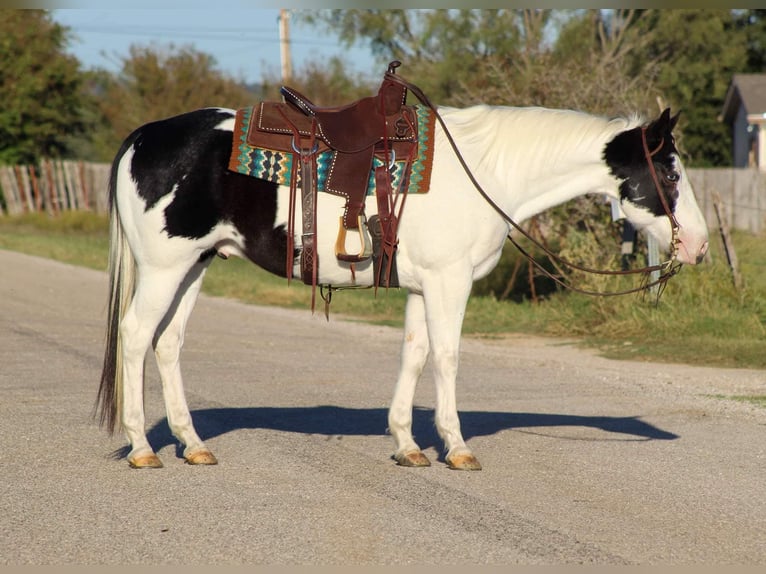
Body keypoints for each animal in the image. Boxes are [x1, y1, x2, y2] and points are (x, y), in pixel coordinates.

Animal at [96, 102, 709, 470]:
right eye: (671, 173)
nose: (699, 246)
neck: (486, 173)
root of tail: (144, 136)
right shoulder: (448, 282)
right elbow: (447, 358)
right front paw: (456, 448)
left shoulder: (422, 288)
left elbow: (414, 356)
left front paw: (408, 446)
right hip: (164, 269)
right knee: (136, 336)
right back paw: (143, 448)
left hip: (194, 266)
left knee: (167, 344)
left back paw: (193, 445)